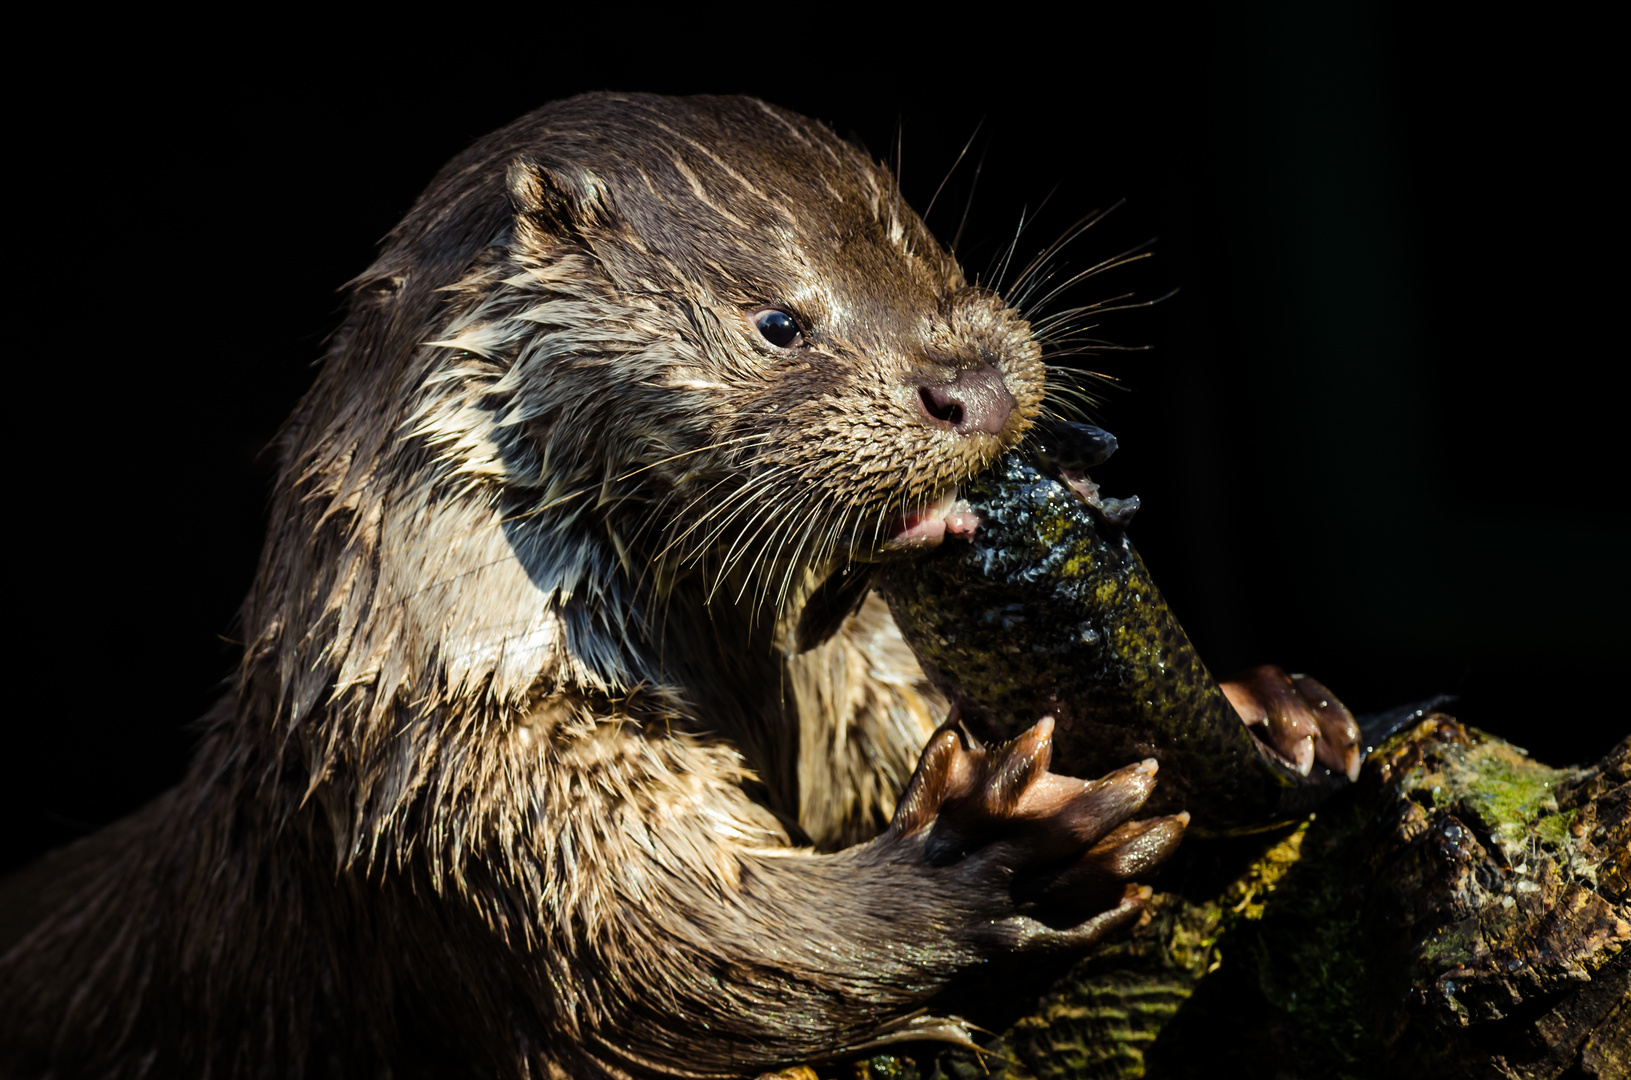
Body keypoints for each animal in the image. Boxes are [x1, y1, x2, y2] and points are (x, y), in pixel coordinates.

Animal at [0, 95, 1200, 1080]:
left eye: (936, 257)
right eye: (777, 324)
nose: (972, 385)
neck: (386, 671)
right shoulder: (470, 780)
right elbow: (655, 945)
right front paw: (988, 864)